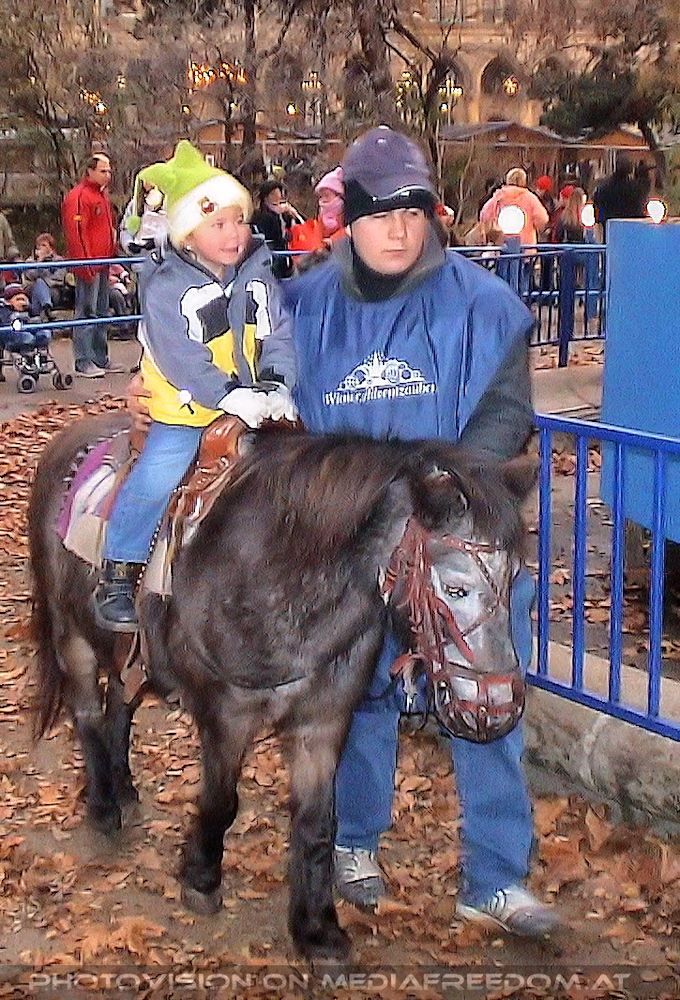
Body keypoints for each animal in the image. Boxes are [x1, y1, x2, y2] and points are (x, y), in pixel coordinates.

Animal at [28, 410, 536, 961]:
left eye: (515, 578)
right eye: (456, 588)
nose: (496, 707)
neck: (277, 572)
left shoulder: (324, 722)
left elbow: (316, 826)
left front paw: (317, 932)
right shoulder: (227, 717)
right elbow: (221, 802)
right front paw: (201, 879)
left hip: (128, 656)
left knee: (118, 707)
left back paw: (123, 789)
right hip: (71, 637)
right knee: (86, 713)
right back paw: (103, 807)